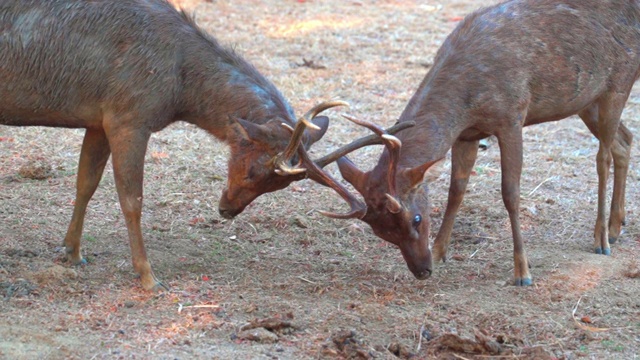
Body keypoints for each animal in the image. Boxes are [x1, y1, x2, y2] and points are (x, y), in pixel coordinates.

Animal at [0, 0, 376, 292]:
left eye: (278, 185)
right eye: (254, 171)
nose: (227, 210)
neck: (179, 93)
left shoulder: (99, 120)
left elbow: (85, 184)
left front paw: (72, 253)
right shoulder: (129, 115)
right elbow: (132, 200)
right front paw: (148, 276)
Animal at [330, 0, 636, 286]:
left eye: (416, 219)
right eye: (381, 232)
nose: (422, 271)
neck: (467, 102)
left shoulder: (512, 116)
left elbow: (510, 193)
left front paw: (522, 271)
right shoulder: (467, 134)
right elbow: (456, 190)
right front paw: (440, 251)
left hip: (619, 83)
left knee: (603, 157)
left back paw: (601, 239)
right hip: (586, 100)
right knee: (625, 139)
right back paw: (615, 227)